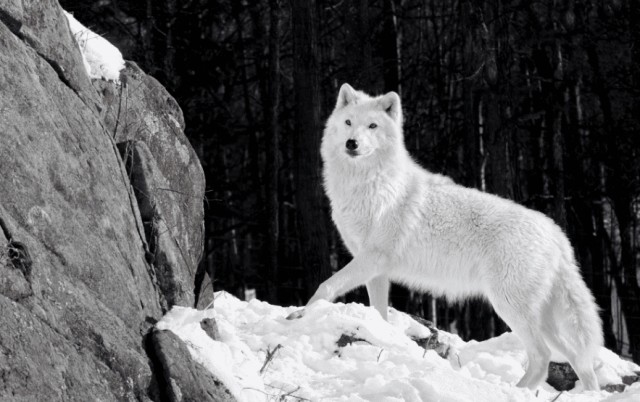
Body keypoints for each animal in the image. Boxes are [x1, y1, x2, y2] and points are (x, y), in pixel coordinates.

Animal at [291, 83, 603, 391]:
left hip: (509, 306)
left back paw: (514, 391)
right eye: (348, 123)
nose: (351, 143)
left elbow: (326, 286)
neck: (368, 184)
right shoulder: (375, 270)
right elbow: (379, 312)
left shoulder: (372, 258)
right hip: (542, 319)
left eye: (372, 126)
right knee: (578, 359)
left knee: (542, 357)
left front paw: (299, 315)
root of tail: (556, 233)